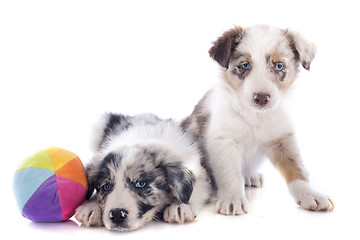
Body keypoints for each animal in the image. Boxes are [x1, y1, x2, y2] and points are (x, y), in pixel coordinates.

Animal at [75, 113, 211, 232]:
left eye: (141, 184)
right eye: (106, 186)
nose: (117, 214)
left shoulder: (201, 175)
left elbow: (195, 190)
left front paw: (179, 206)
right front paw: (91, 207)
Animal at [183, 24, 334, 216]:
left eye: (279, 66)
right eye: (245, 65)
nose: (261, 98)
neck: (256, 117)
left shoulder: (283, 138)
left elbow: (297, 169)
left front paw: (311, 195)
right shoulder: (223, 141)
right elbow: (231, 173)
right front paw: (233, 199)